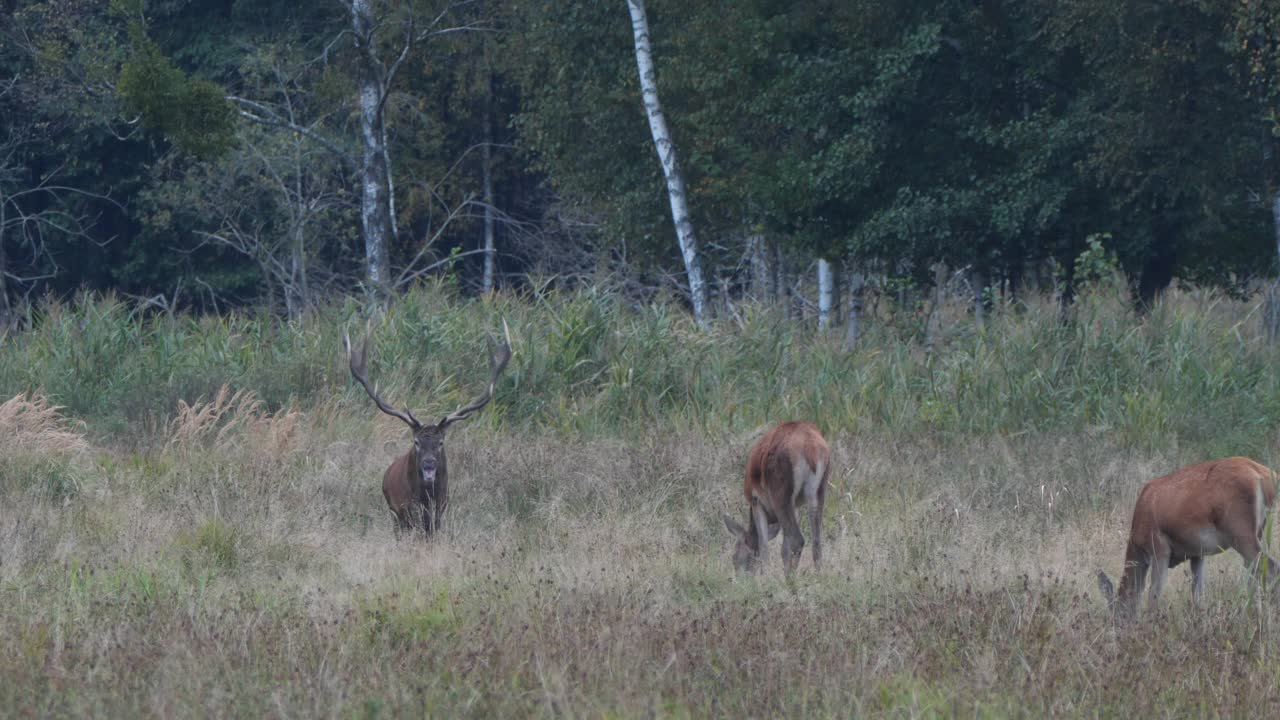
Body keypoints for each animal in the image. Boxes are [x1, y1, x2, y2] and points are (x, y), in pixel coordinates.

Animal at [350, 320, 514, 538]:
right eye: (416, 442)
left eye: (441, 442)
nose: (429, 464)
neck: (428, 496)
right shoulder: (407, 509)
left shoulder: (441, 507)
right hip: (394, 513)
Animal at [721, 420, 829, 576]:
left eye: (734, 557)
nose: (739, 577)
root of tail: (811, 449)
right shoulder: (795, 505)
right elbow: (783, 545)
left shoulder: (756, 501)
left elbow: (764, 546)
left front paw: (764, 576)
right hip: (818, 491)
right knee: (816, 541)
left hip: (780, 493)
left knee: (797, 540)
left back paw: (790, 578)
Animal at [1100, 453, 1280, 617]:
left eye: (1118, 615)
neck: (1137, 540)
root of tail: (1265, 475)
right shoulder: (1197, 553)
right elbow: (1198, 593)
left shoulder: (1159, 546)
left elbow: (1154, 593)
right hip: (1258, 531)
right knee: (1254, 572)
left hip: (1240, 531)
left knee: (1270, 568)